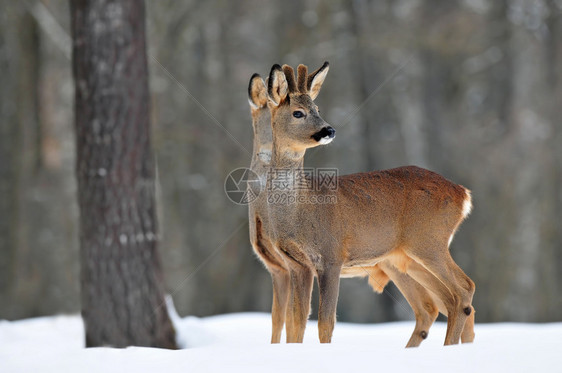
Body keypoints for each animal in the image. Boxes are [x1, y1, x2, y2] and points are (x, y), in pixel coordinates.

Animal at [258, 62, 472, 344]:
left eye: (318, 109)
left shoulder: (332, 254)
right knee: (443, 301)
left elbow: (325, 323)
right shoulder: (297, 265)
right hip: (406, 257)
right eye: (298, 113)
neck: (299, 210)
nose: (329, 130)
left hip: (429, 240)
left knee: (463, 289)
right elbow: (296, 322)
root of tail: (462, 193)